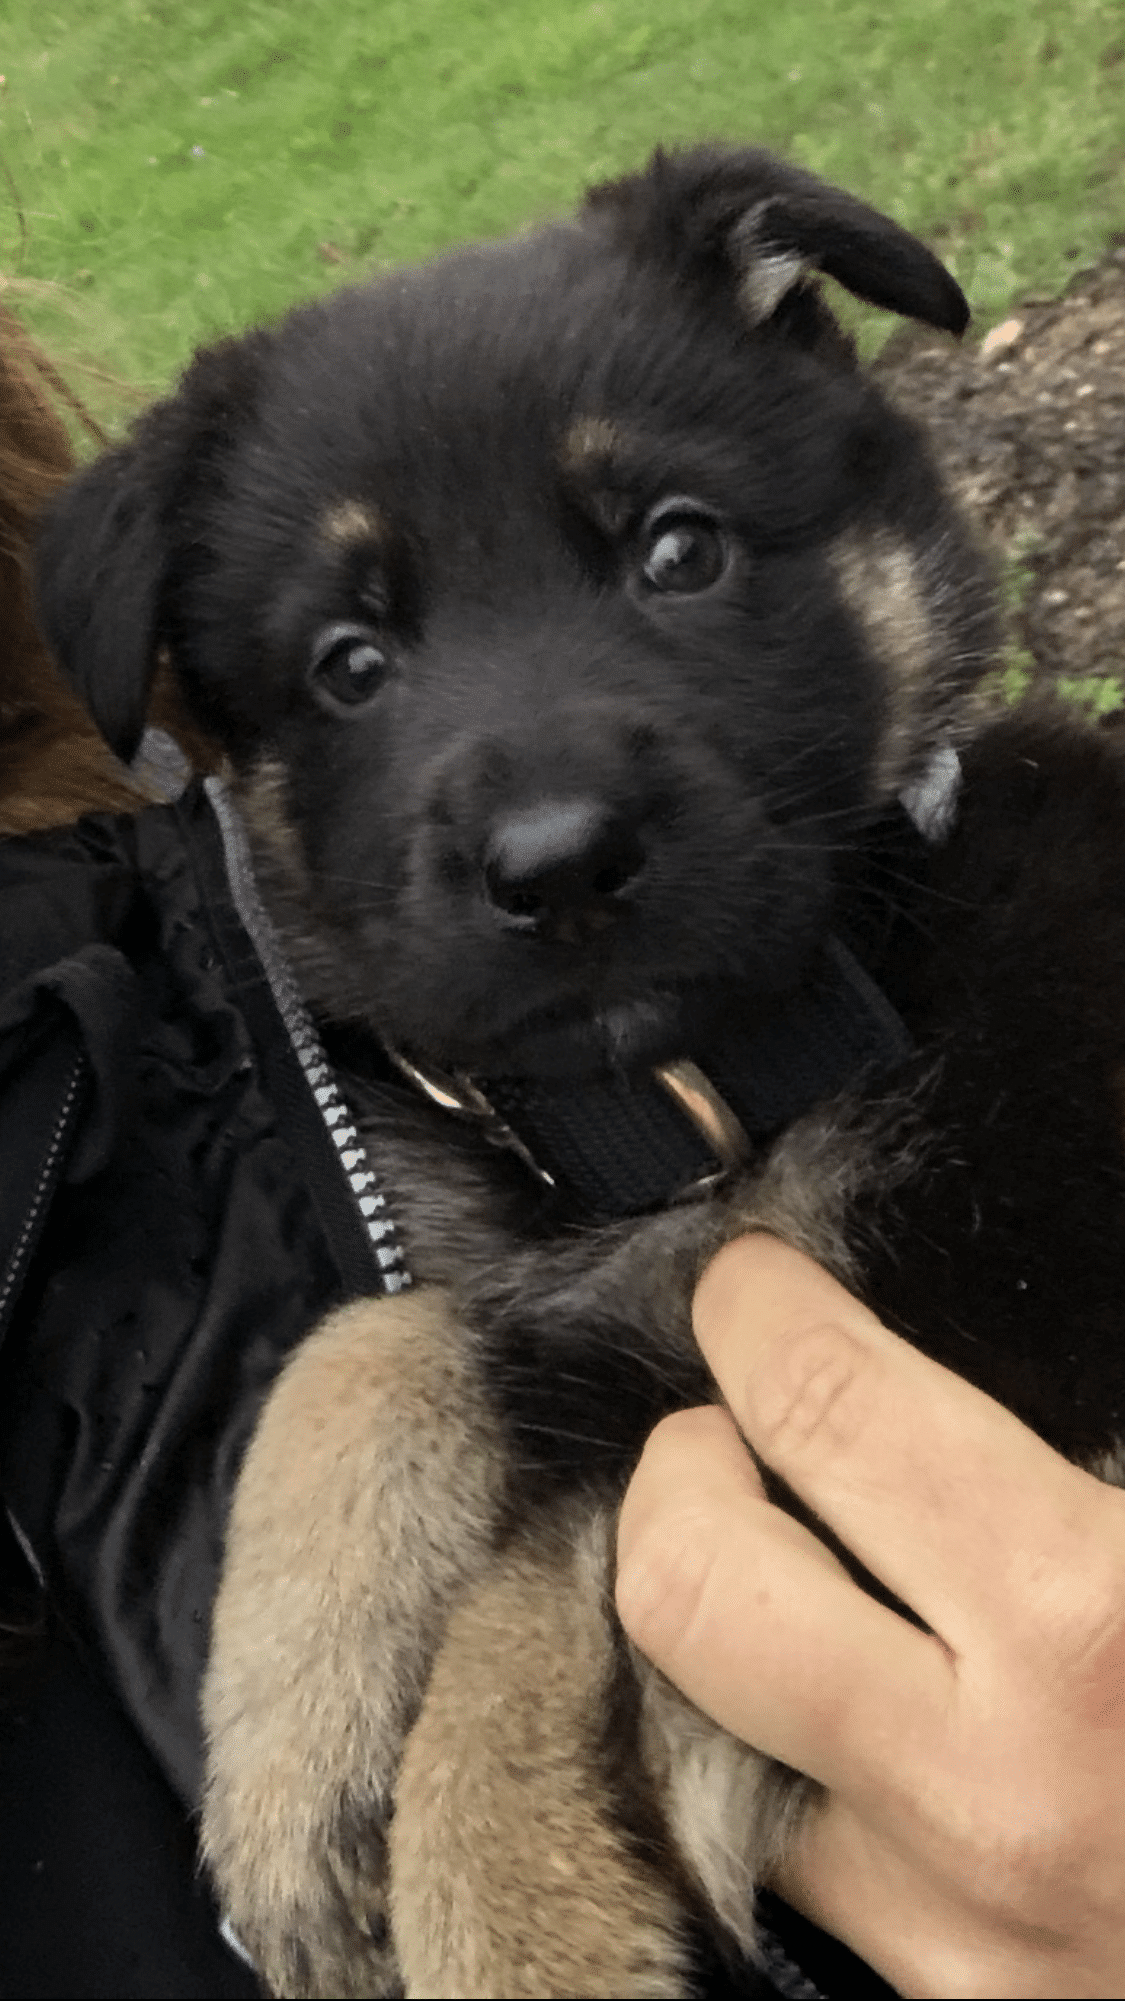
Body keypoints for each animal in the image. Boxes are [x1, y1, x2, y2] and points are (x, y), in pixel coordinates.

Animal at [35, 148, 1125, 1992]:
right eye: (350, 664)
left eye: (679, 549)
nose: (556, 866)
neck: (686, 1106)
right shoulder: (552, 1275)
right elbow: (379, 1332)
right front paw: (291, 1742)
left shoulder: (1006, 1322)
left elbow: (570, 1550)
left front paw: (502, 1906)